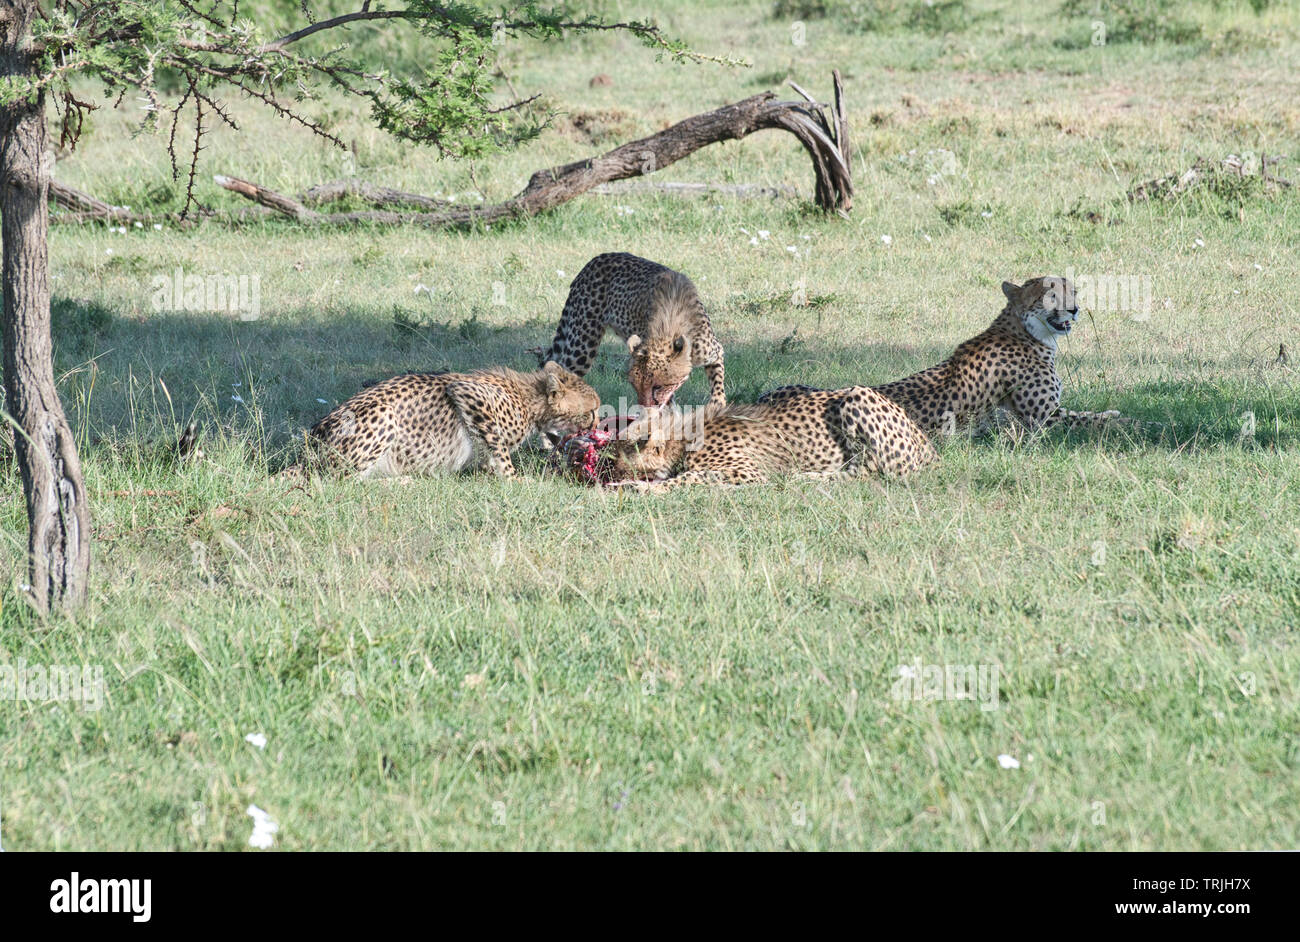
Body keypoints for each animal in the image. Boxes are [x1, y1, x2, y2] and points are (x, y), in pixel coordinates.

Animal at [312, 361, 600, 478]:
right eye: (593, 411)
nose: (598, 425)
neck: (531, 400)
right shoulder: (466, 392)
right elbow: (500, 448)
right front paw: (514, 479)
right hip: (383, 414)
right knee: (343, 481)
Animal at [759, 275, 1128, 436]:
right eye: (1051, 294)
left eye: (1072, 290)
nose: (1075, 309)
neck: (1023, 331)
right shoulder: (1042, 420)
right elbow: (1090, 417)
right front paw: (1120, 418)